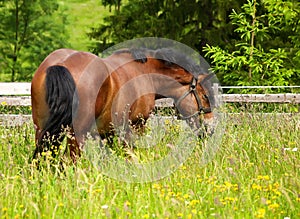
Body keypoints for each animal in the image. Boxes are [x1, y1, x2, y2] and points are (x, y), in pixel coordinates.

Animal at [31, 47, 216, 162]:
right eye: (205, 96)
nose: (210, 128)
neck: (145, 72)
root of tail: (61, 65)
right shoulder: (136, 126)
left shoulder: (107, 133)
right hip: (76, 135)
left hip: (43, 131)